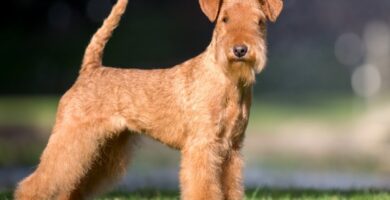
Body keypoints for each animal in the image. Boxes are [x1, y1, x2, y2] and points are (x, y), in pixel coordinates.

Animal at [14, 0, 284, 199]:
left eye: (259, 21)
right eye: (224, 19)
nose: (240, 50)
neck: (226, 80)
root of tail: (90, 69)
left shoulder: (232, 149)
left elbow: (231, 188)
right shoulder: (203, 146)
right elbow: (204, 189)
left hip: (103, 148)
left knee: (72, 187)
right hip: (72, 138)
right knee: (38, 181)